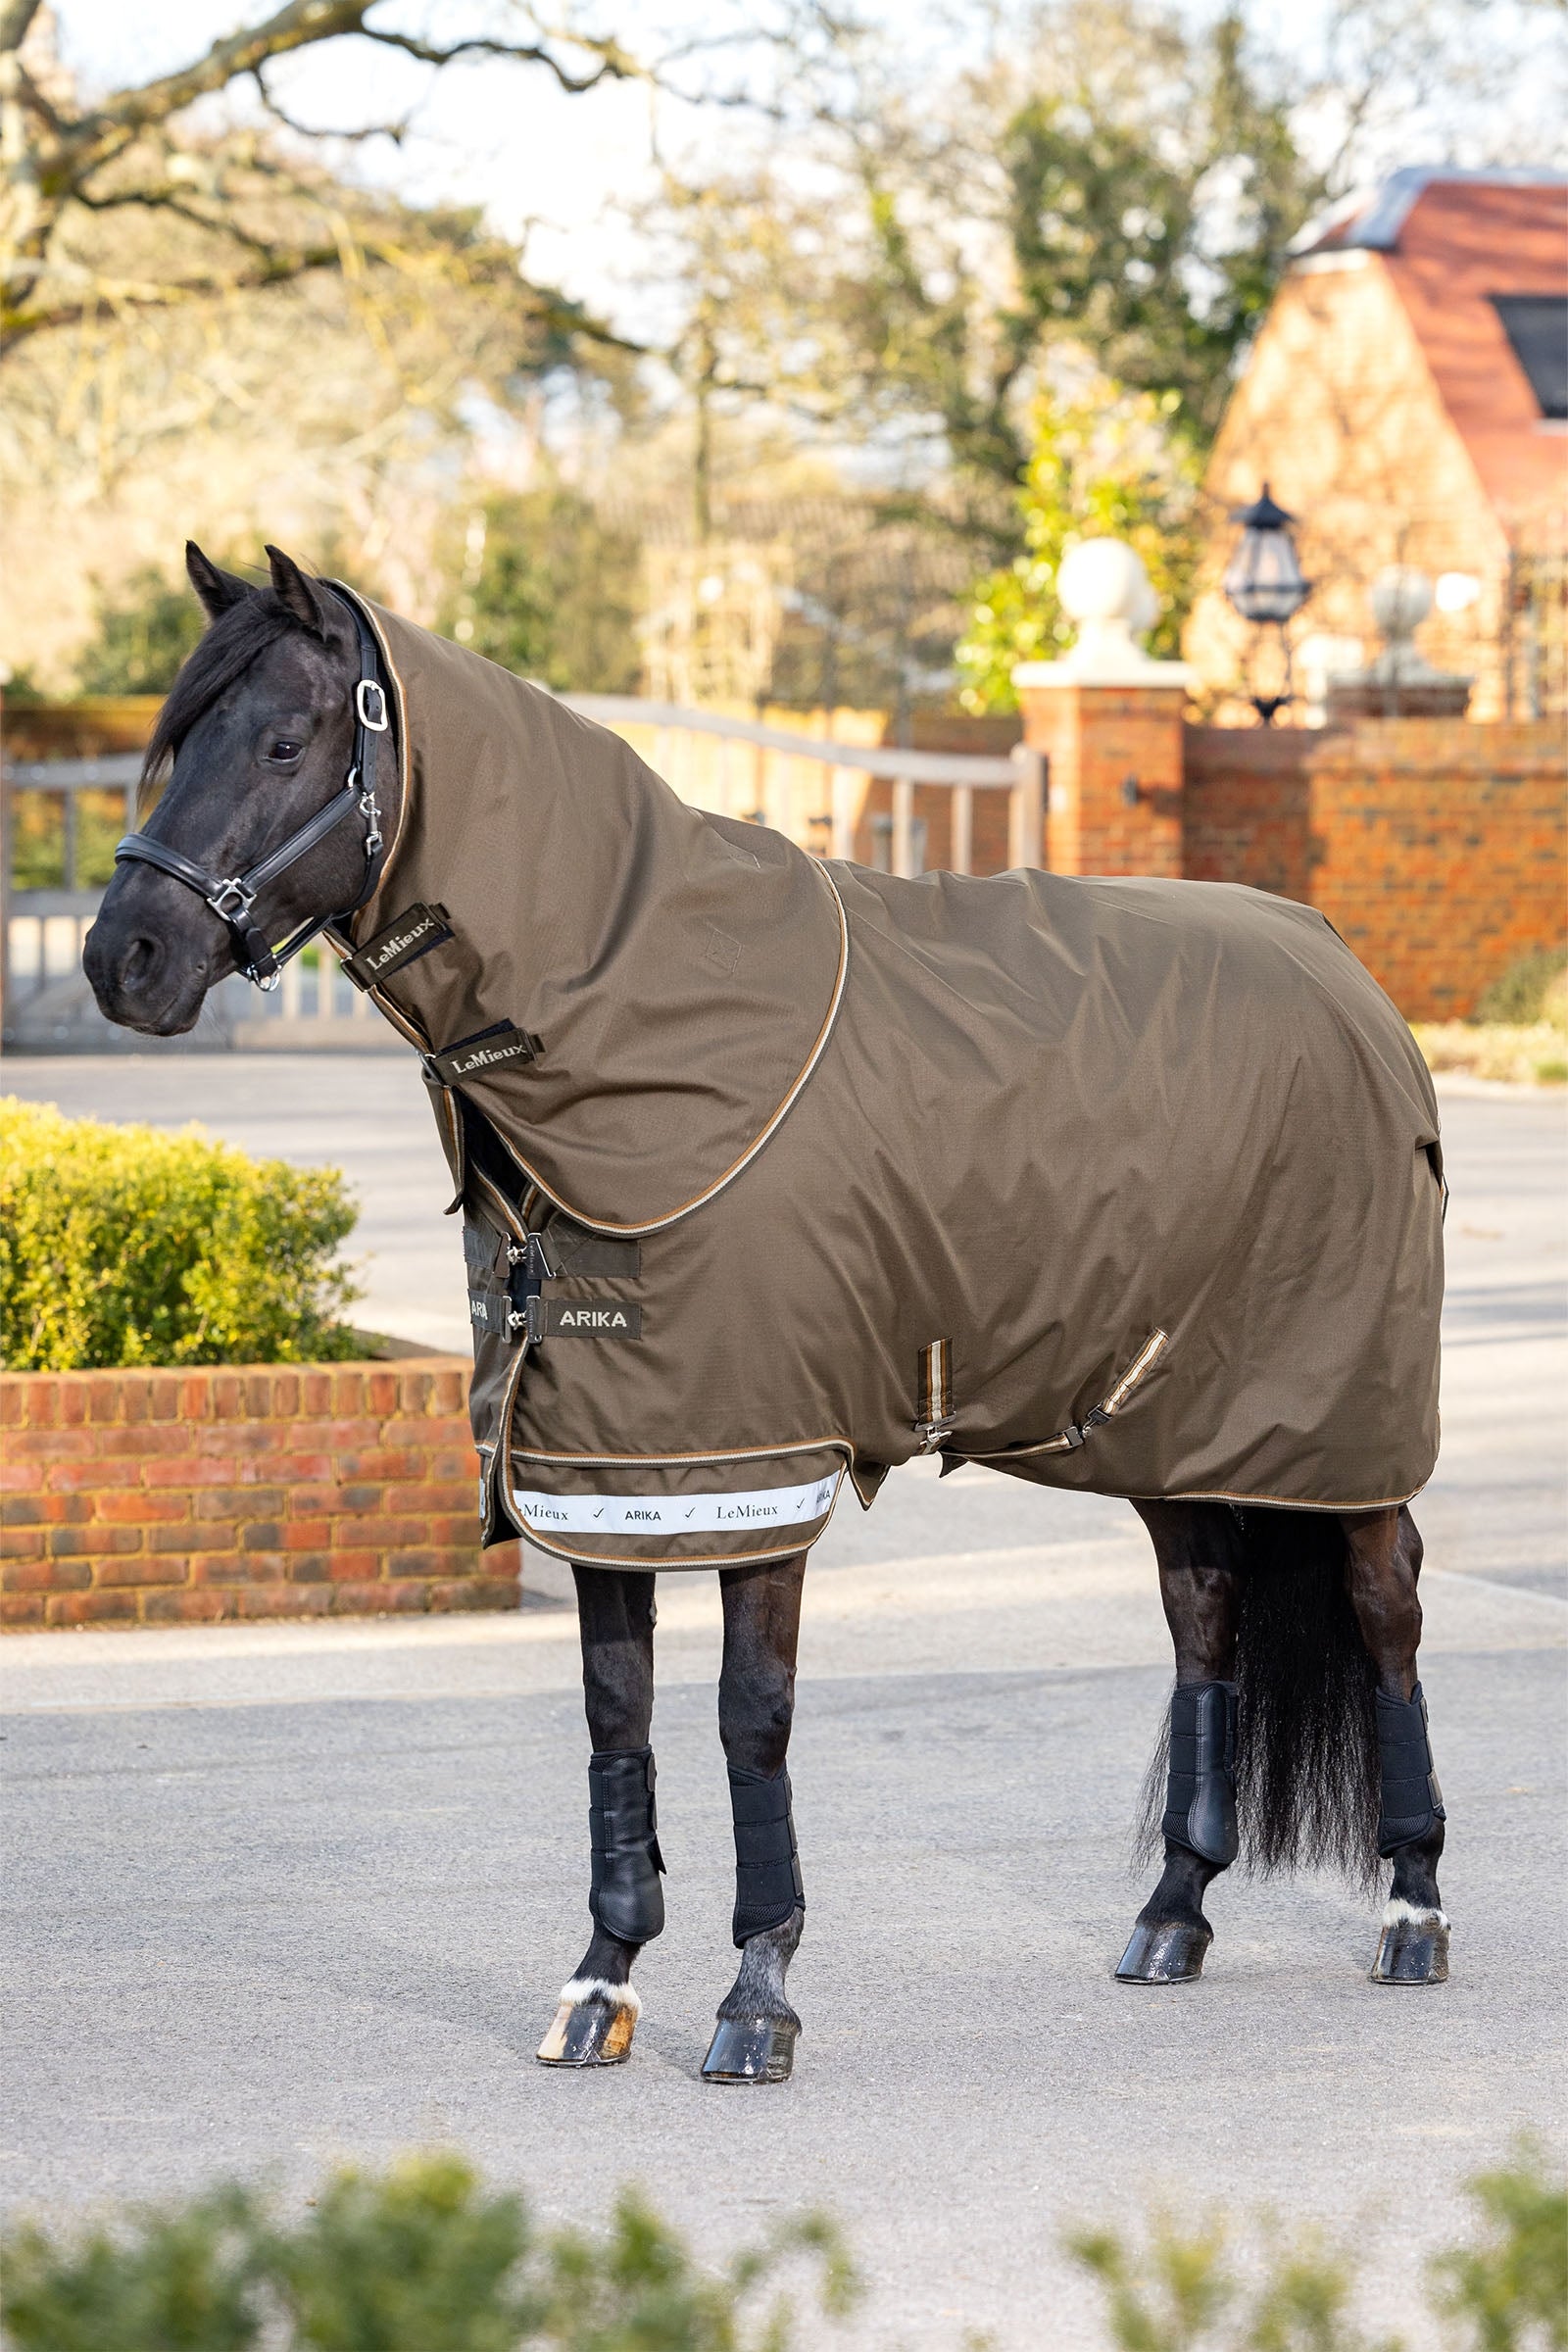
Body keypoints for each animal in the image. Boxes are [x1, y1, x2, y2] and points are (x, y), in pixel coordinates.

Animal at [84, 543, 1450, 2085]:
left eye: (280, 740)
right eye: (182, 735)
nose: (124, 958)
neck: (645, 1037)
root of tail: (1343, 969)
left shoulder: (757, 1460)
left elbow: (752, 1720)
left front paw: (756, 1994)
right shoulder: (603, 1467)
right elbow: (616, 1713)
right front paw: (602, 1981)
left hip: (1339, 1417)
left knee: (1387, 1605)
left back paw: (1411, 1908)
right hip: (1171, 1415)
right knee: (1203, 1608)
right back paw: (1171, 1913)